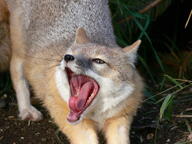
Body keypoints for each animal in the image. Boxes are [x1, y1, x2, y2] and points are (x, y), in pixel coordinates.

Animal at [0, 0, 143, 143]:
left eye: (98, 61)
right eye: (69, 53)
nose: (67, 57)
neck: (96, 115)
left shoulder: (119, 119)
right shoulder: (72, 122)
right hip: (20, 51)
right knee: (16, 72)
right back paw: (26, 109)